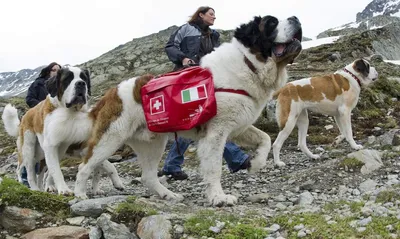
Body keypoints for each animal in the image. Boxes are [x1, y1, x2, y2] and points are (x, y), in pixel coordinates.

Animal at [1, 65, 123, 194]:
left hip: (41, 154)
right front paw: (64, 190)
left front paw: (104, 187)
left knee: (40, 173)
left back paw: (42, 188)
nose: (81, 83)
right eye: (68, 79)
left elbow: (103, 167)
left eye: (84, 78)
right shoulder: (59, 147)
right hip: (29, 149)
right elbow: (57, 170)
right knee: (26, 170)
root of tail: (25, 116)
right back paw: (33, 188)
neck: (72, 112)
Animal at [73, 14, 302, 206]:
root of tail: (110, 93)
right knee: (84, 167)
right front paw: (219, 197)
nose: (295, 18)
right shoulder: (216, 133)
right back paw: (79, 195)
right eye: (272, 23)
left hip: (153, 142)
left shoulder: (239, 126)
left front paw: (254, 164)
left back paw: (168, 195)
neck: (250, 64)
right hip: (110, 139)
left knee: (148, 176)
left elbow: (265, 138)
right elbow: (214, 168)